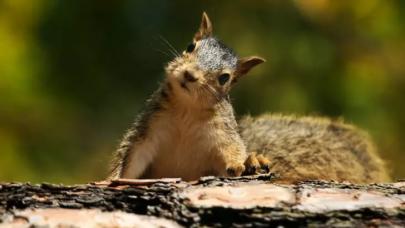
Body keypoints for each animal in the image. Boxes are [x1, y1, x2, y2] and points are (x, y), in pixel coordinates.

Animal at [109, 12, 390, 183]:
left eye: (225, 78)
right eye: (190, 47)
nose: (190, 75)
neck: (187, 110)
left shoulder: (221, 138)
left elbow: (231, 153)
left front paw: (240, 163)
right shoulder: (150, 129)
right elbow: (131, 158)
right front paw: (111, 179)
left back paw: (254, 161)